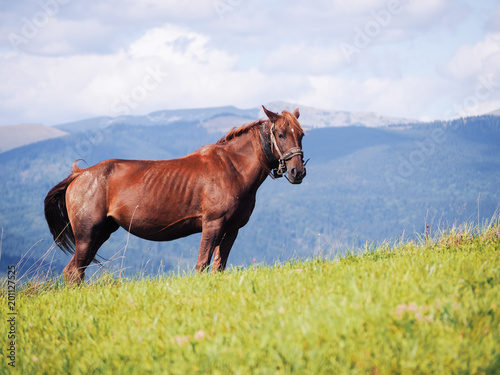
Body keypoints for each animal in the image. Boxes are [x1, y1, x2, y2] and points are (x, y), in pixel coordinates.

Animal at [45, 105, 306, 282]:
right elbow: (202, 265)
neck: (232, 168)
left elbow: (219, 267)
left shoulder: (232, 229)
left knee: (76, 272)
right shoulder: (213, 224)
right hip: (87, 234)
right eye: (280, 134)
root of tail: (80, 175)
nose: (298, 172)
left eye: (301, 134)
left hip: (101, 233)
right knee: (73, 272)